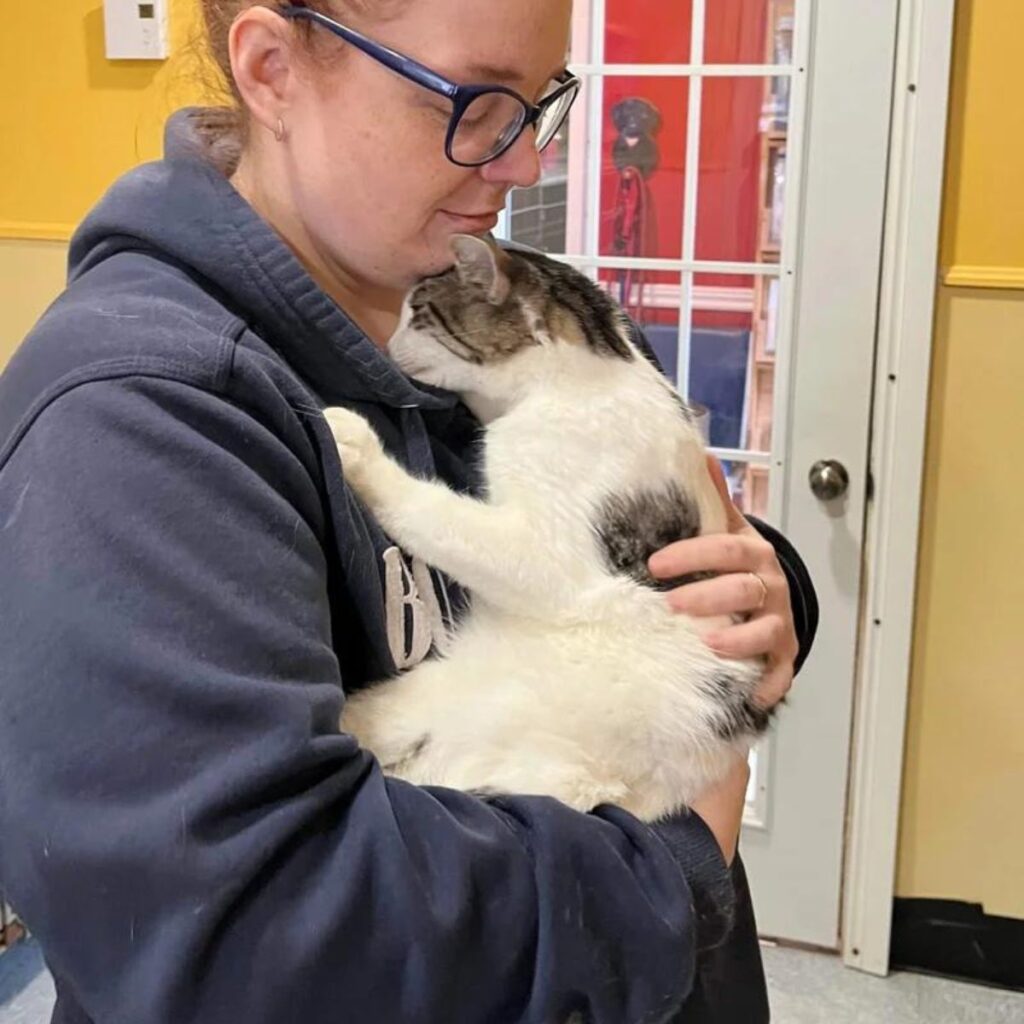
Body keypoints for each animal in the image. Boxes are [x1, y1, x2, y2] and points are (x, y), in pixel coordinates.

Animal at [327, 234, 770, 823]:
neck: (582, 377)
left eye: (418, 312)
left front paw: (358, 447)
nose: (386, 342)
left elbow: (438, 513)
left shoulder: (543, 555)